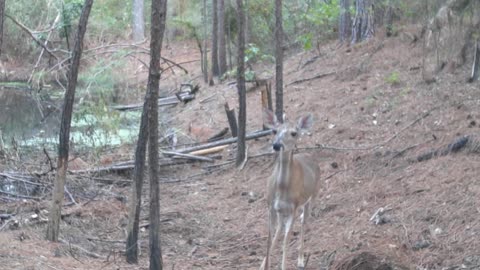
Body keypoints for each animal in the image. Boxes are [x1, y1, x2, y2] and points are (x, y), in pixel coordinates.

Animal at [260, 108, 320, 268]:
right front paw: (264, 266)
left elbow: (286, 240)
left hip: (312, 196)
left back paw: (300, 259)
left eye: (294, 133)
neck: (282, 188)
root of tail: (310, 155)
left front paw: (283, 266)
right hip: (281, 210)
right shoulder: (270, 206)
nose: (276, 145)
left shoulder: (294, 207)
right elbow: (269, 239)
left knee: (304, 222)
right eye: (274, 130)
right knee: (280, 228)